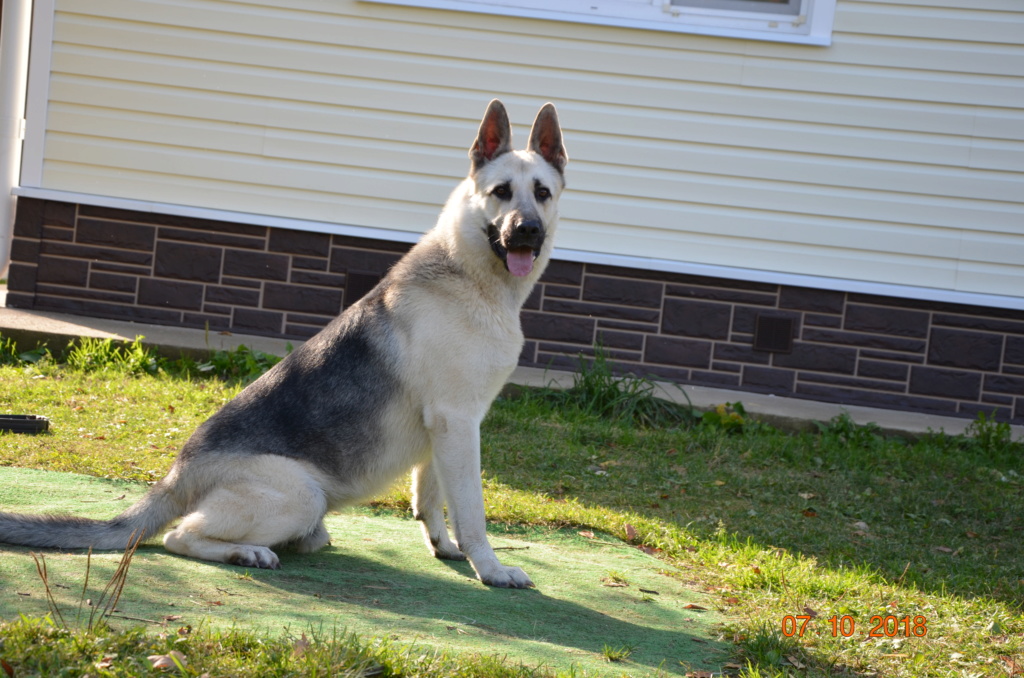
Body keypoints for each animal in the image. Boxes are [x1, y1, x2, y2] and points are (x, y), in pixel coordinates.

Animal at [0, 99, 569, 589]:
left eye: (542, 193)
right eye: (501, 192)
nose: (527, 231)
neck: (471, 275)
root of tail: (177, 473)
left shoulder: (443, 430)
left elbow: (430, 497)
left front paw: (444, 548)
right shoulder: (457, 423)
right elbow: (472, 511)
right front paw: (490, 568)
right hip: (302, 495)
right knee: (179, 536)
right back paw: (245, 551)